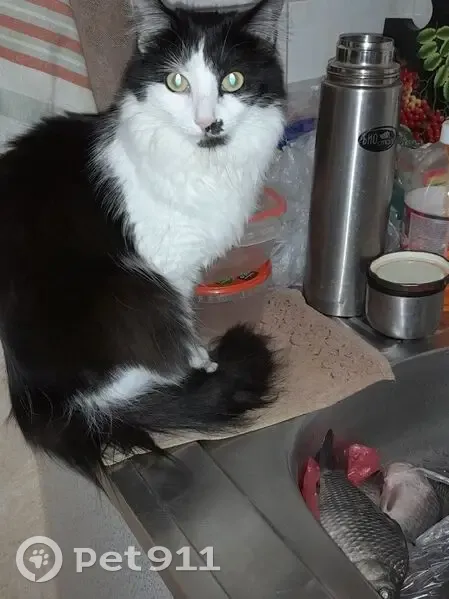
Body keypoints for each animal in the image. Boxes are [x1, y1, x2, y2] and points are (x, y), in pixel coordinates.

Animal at [0, 0, 286, 483]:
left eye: (233, 80)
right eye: (177, 82)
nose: (209, 123)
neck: (206, 169)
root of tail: (47, 403)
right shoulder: (171, 267)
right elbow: (186, 318)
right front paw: (199, 356)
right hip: (136, 288)